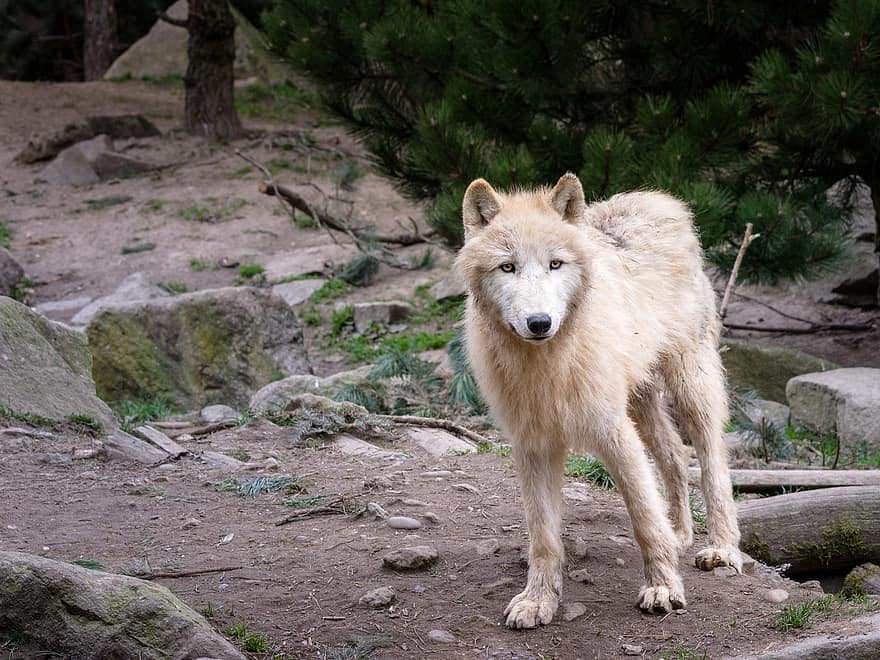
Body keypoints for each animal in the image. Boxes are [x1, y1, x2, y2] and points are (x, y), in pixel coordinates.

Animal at [458, 174, 740, 628]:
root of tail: (655, 199)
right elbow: (543, 537)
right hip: (641, 402)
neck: (547, 364)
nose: (539, 323)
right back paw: (680, 533)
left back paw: (723, 548)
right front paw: (539, 600)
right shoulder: (533, 446)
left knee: (712, 458)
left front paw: (662, 588)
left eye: (555, 264)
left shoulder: (614, 433)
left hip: (689, 385)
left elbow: (644, 517)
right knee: (675, 455)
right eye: (507, 267)